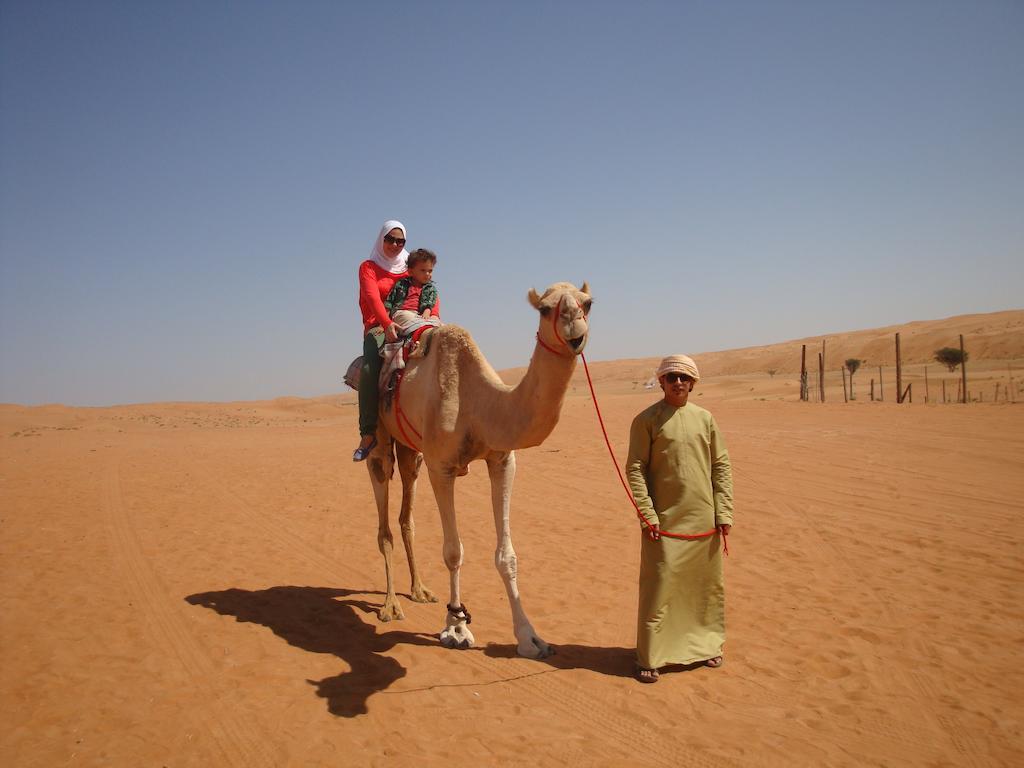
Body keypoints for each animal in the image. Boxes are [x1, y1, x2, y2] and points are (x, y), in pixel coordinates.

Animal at [366, 282, 593, 663]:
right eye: (544, 309)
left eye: (588, 303)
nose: (575, 330)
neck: (480, 403)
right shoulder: (442, 466)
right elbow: (453, 552)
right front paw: (456, 627)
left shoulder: (502, 460)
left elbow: (507, 556)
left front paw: (530, 638)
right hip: (380, 439)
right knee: (383, 513)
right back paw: (390, 606)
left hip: (412, 451)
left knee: (406, 512)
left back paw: (420, 590)